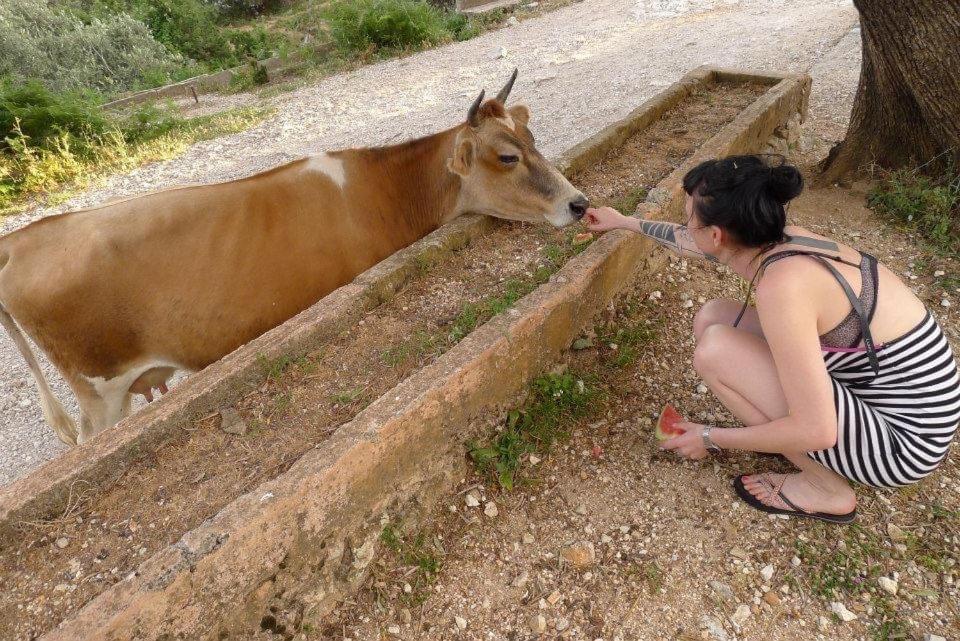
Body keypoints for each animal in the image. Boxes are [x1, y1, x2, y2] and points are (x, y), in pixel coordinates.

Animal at [0, 67, 584, 442]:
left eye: (533, 137)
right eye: (507, 157)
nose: (579, 203)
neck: (387, 193)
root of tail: (22, 239)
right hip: (101, 393)